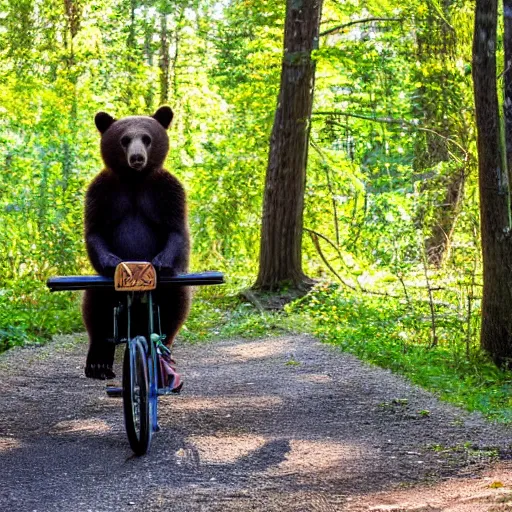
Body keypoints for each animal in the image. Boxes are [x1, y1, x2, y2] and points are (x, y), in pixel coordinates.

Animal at [83, 107, 191, 380]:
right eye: (124, 139)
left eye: (147, 138)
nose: (137, 158)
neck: (134, 180)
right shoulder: (103, 192)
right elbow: (95, 231)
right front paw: (112, 261)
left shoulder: (166, 191)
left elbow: (176, 230)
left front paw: (161, 262)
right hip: (102, 289)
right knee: (96, 305)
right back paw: (98, 362)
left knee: (176, 303)